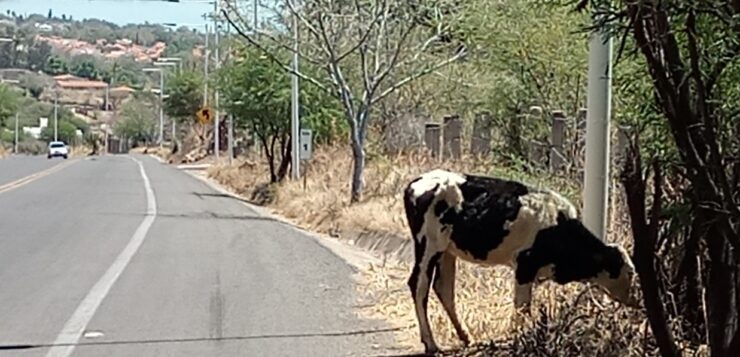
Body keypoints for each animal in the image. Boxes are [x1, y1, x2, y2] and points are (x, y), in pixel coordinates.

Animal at [402, 168, 640, 352]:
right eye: (629, 272)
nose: (635, 299)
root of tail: (416, 182)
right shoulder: (525, 266)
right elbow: (522, 308)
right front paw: (519, 338)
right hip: (428, 245)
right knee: (419, 285)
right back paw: (431, 343)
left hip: (447, 250)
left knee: (443, 287)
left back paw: (466, 337)